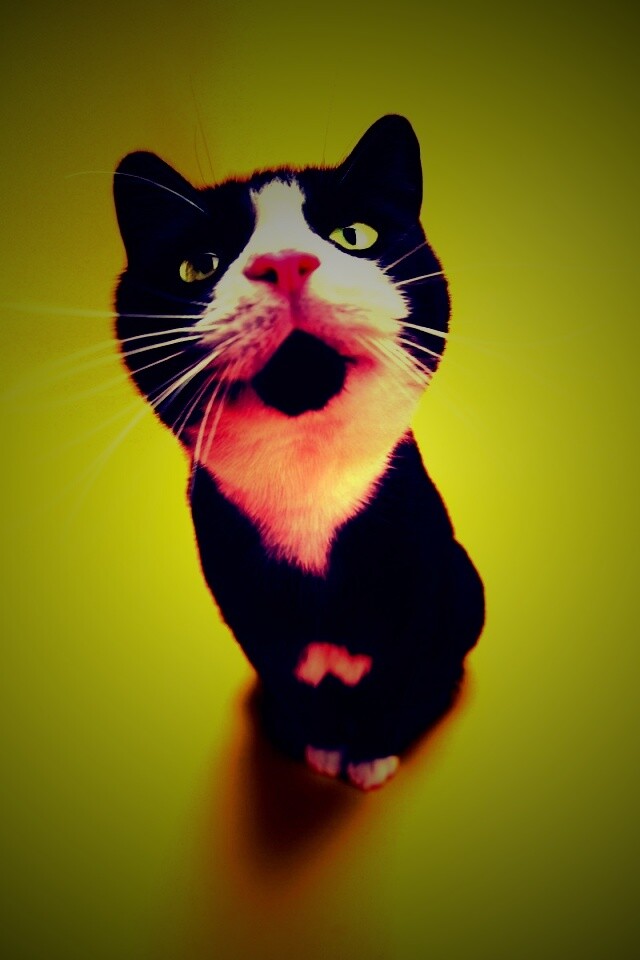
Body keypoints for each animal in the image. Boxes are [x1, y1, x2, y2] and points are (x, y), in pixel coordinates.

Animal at [113, 114, 484, 791]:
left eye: (354, 235)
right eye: (197, 266)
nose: (284, 263)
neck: (307, 487)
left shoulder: (421, 585)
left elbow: (396, 681)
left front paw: (372, 752)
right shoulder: (246, 609)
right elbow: (294, 689)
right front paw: (321, 745)